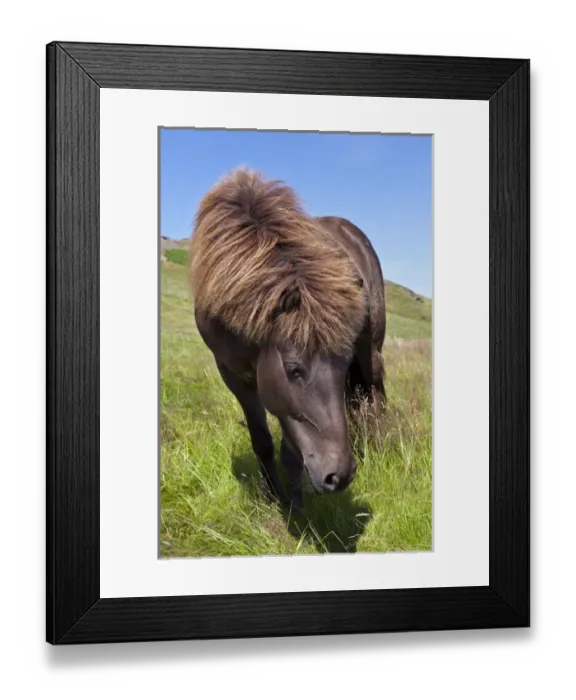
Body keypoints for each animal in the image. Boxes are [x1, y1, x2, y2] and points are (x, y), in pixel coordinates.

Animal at [189, 167, 386, 508]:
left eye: (340, 366)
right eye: (294, 369)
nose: (341, 476)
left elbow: (291, 449)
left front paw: (295, 503)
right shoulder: (235, 375)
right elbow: (263, 441)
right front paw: (274, 495)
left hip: (371, 353)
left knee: (375, 396)